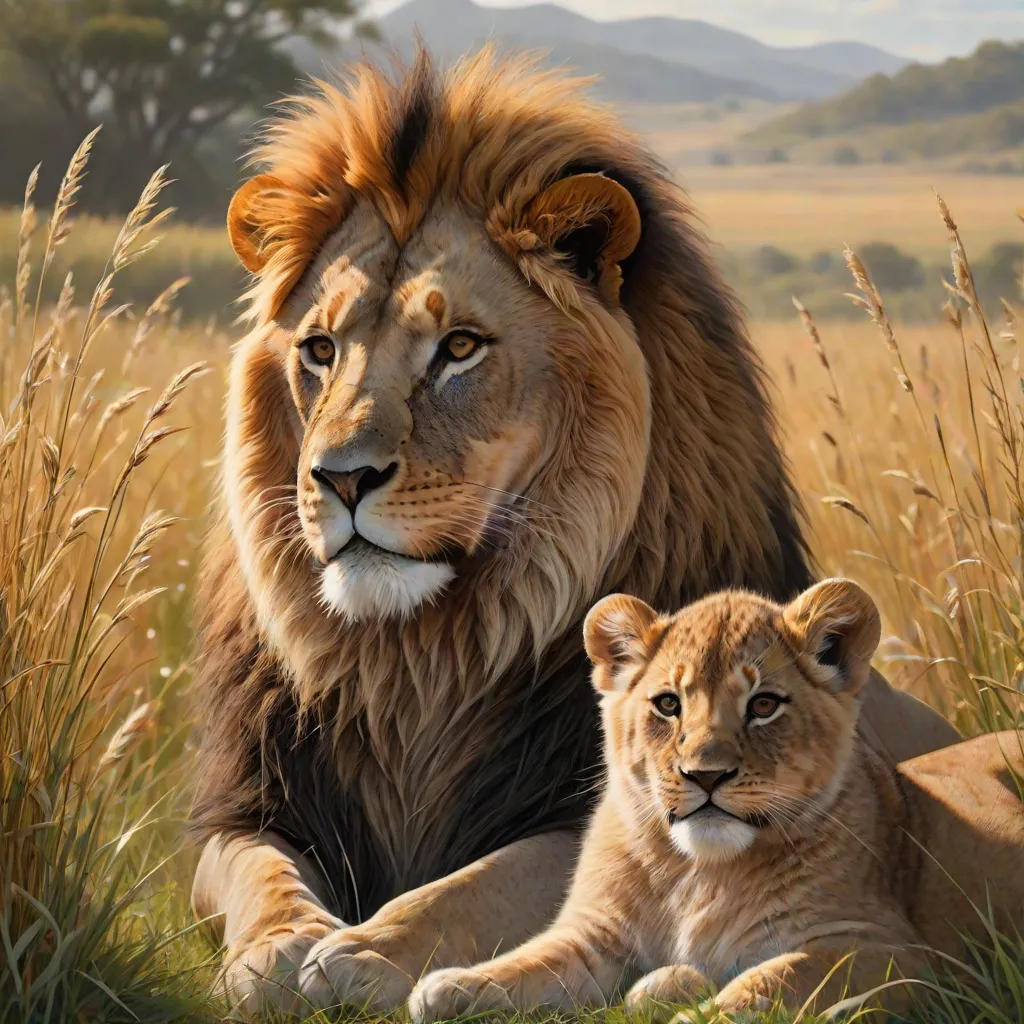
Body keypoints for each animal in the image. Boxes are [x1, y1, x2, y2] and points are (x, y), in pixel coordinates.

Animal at [189, 48, 960, 1014]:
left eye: (460, 347)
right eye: (319, 351)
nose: (340, 477)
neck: (414, 660)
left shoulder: (596, 814)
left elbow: (472, 886)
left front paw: (363, 949)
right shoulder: (250, 804)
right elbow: (257, 873)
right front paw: (281, 947)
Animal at [409, 581, 1024, 1022]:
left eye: (764, 705)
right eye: (667, 704)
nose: (705, 775)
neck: (696, 872)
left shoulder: (894, 953)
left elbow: (774, 979)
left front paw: (696, 1012)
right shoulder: (597, 936)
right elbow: (531, 960)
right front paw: (449, 986)